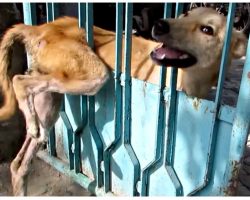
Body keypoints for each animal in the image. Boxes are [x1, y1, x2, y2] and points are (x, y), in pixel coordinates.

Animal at [0, 7, 246, 195]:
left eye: (207, 29)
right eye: (185, 15)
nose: (159, 25)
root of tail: (42, 27)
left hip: (49, 101)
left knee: (19, 164)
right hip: (93, 75)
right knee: (18, 80)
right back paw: (30, 119)